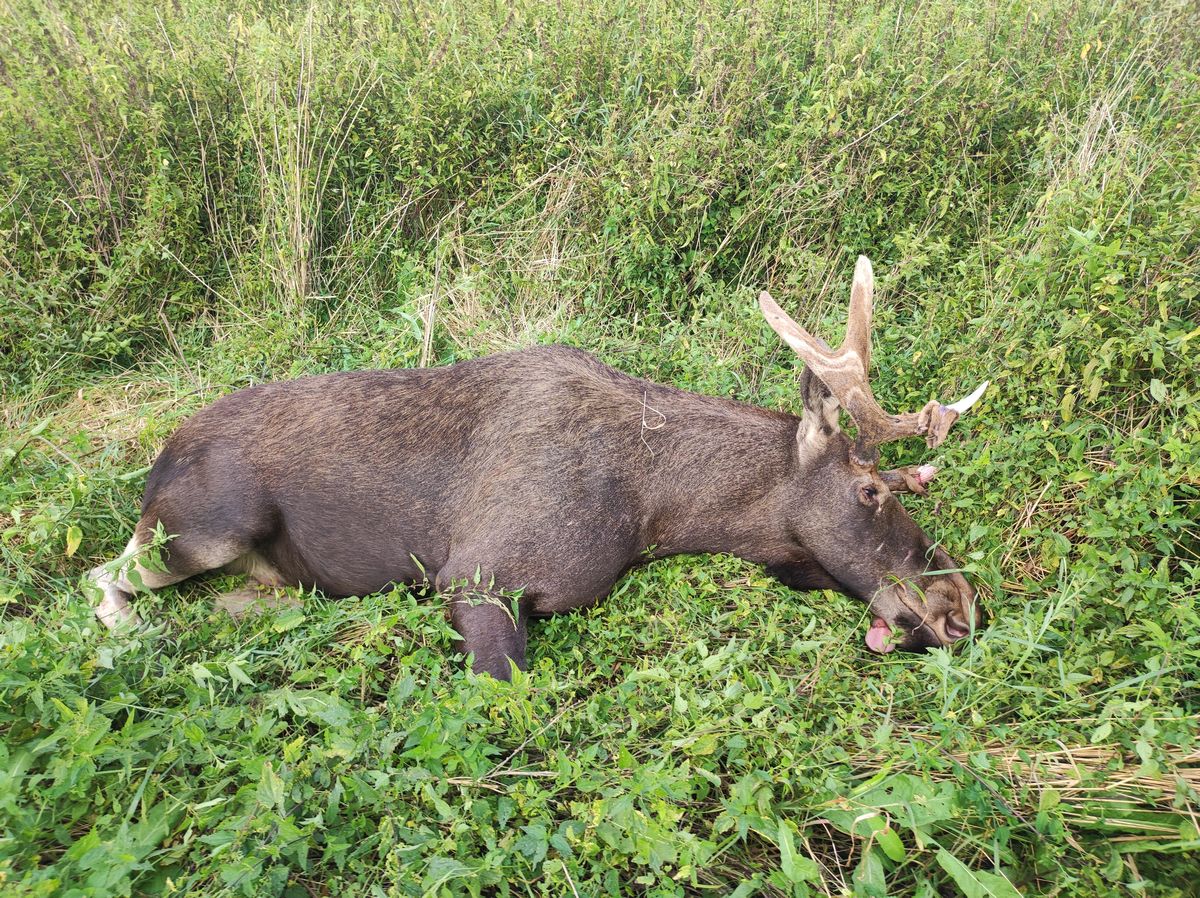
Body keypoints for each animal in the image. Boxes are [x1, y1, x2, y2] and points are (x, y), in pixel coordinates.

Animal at [91, 255, 984, 677]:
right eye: (871, 489)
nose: (960, 608)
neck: (654, 510)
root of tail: (161, 453)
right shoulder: (476, 576)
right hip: (203, 525)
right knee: (102, 581)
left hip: (265, 574)